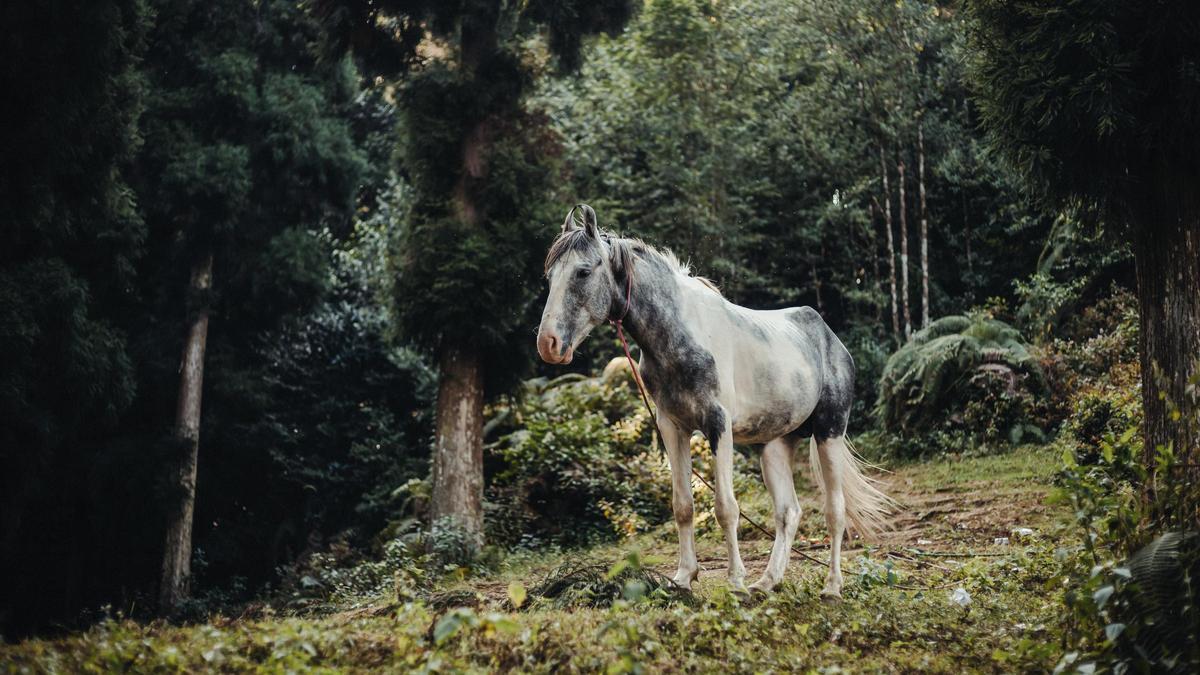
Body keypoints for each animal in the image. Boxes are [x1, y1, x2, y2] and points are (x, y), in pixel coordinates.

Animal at [535, 201, 892, 595]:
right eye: (549, 276)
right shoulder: (672, 427)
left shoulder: (718, 425)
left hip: (829, 432)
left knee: (835, 510)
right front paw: (683, 578)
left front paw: (735, 581)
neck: (680, 334)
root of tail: (831, 340)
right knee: (788, 512)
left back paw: (831, 587)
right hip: (775, 446)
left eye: (583, 272)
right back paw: (767, 582)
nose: (548, 344)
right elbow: (683, 505)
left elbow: (726, 507)